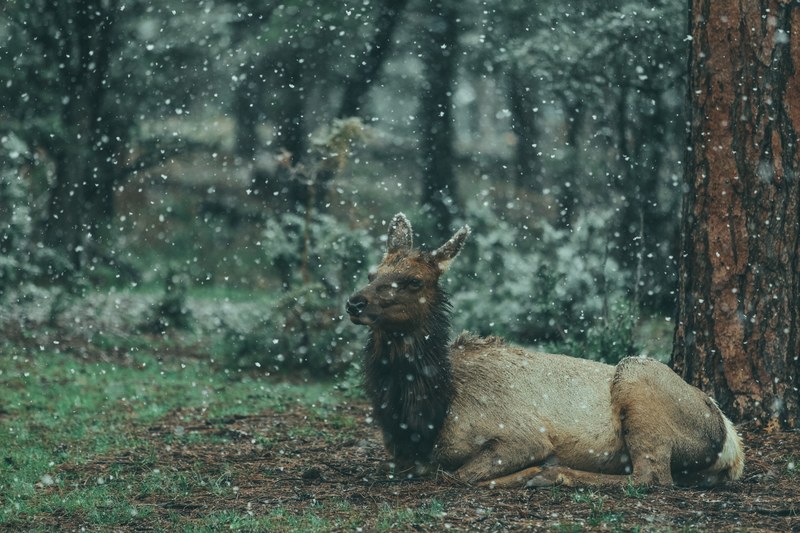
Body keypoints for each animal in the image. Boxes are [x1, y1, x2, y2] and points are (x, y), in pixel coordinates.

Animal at [345, 213, 745, 488]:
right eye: (372, 274)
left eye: (414, 281)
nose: (354, 302)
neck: (427, 416)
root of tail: (731, 443)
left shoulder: (523, 435)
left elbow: (457, 474)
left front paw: (532, 471)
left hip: (638, 377)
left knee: (652, 475)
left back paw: (554, 475)